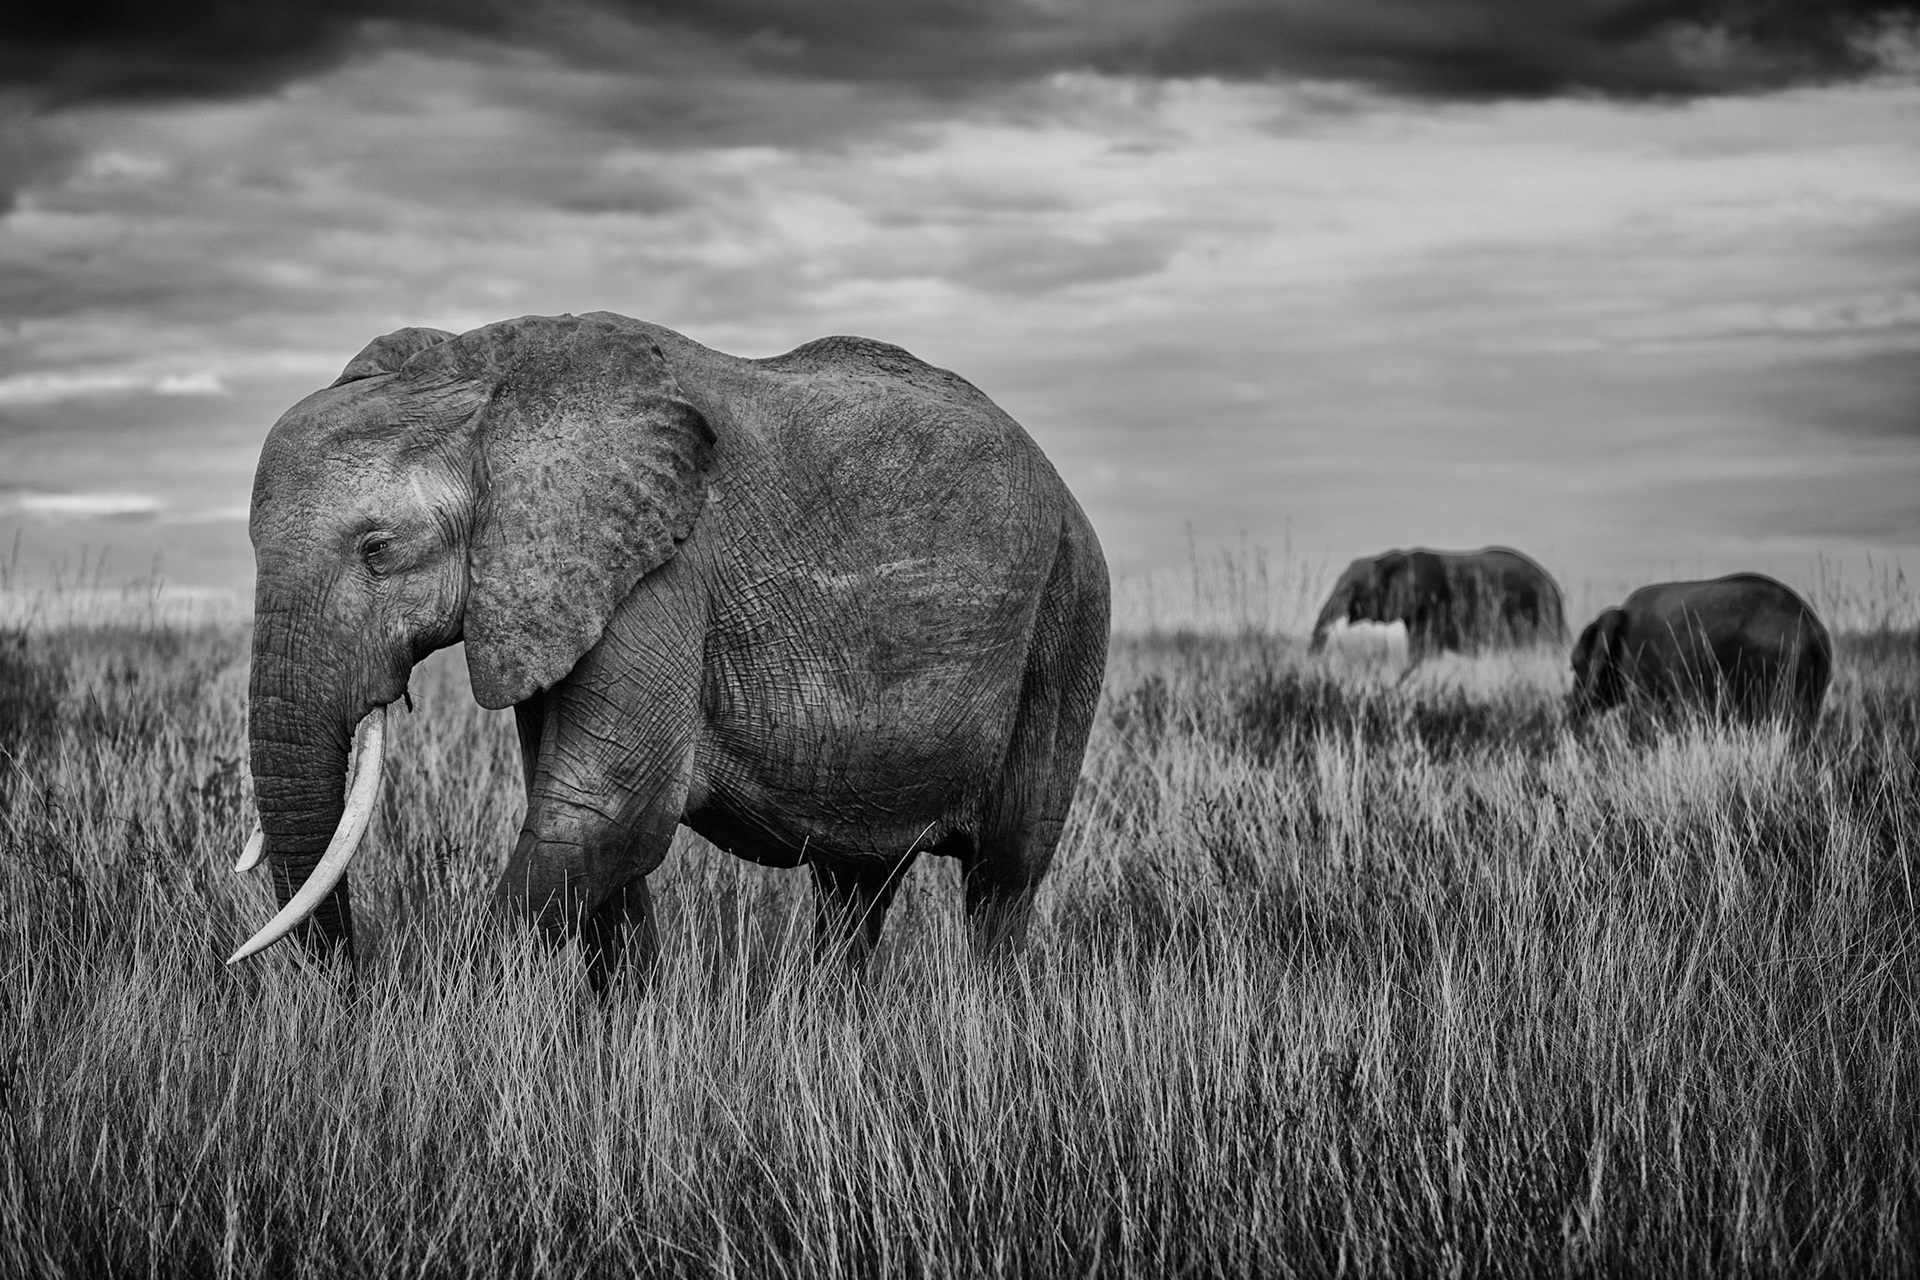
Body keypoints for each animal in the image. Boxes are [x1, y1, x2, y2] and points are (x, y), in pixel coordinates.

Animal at [229, 311, 1110, 988]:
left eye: (377, 551)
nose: (354, 989)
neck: (489, 379)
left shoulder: (662, 574)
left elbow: (603, 812)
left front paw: (435, 1016)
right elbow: (589, 824)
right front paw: (626, 1028)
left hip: (1068, 615)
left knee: (1003, 879)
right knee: (855, 882)